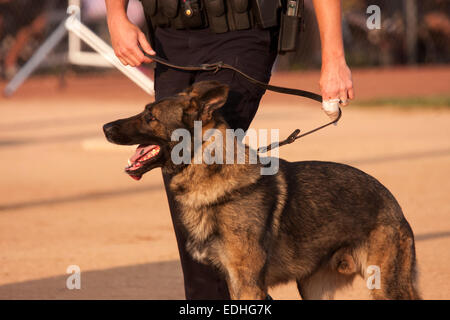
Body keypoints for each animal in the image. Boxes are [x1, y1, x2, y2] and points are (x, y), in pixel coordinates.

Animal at [103, 80, 420, 300]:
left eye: (150, 116)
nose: (105, 127)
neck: (210, 169)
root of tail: (393, 202)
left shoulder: (248, 284)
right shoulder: (235, 283)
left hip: (386, 287)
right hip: (313, 287)